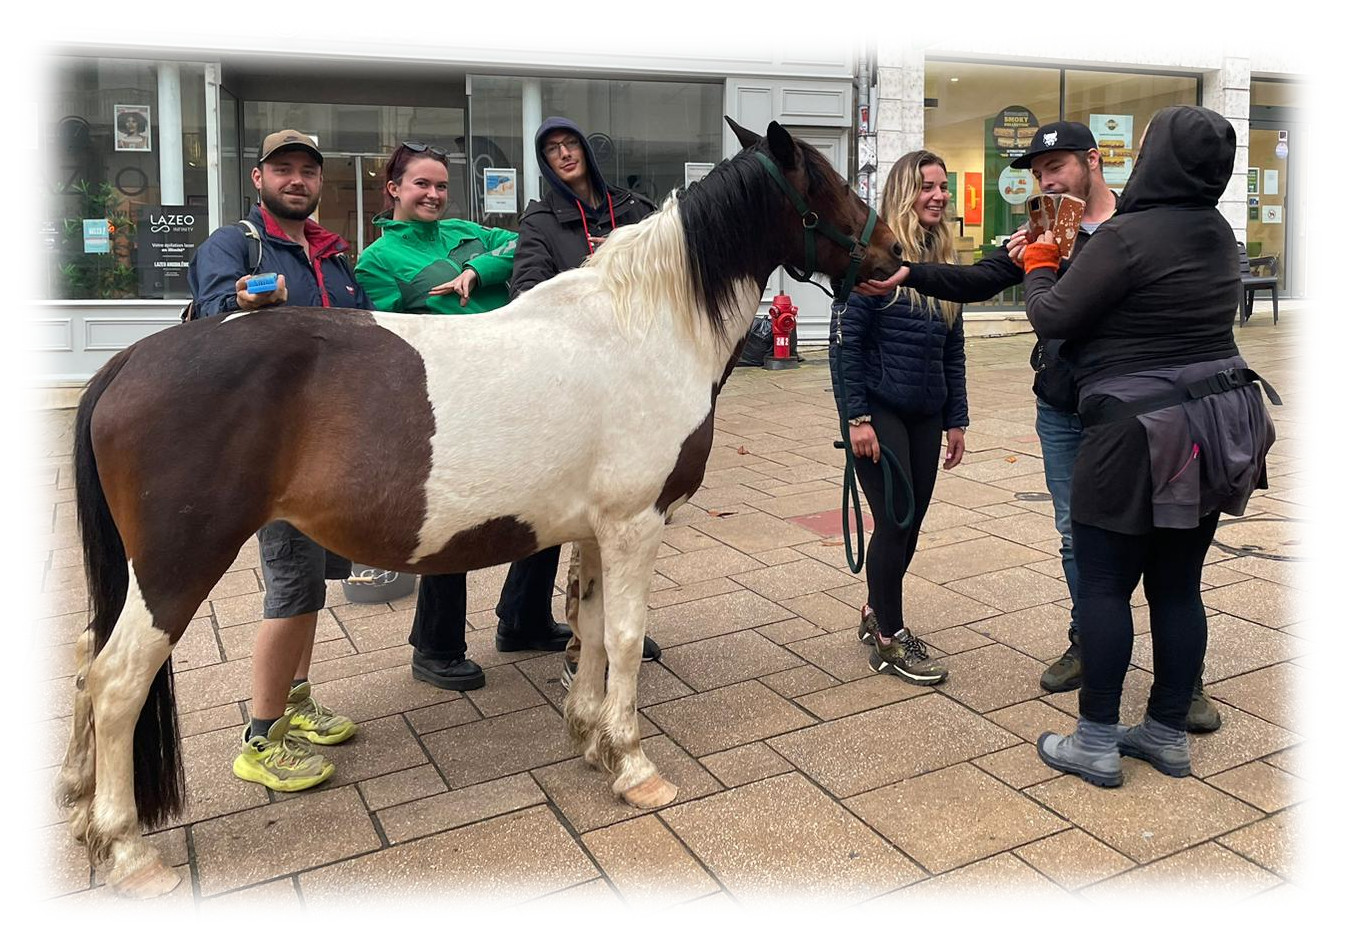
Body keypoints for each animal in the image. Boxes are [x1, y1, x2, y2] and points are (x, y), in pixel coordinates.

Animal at [55, 120, 903, 903]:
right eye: (827, 181)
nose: (893, 256)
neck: (639, 329)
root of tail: (129, 361)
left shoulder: (597, 532)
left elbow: (589, 626)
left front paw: (589, 737)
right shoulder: (636, 525)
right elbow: (626, 640)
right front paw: (633, 764)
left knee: (87, 668)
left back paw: (81, 811)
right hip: (177, 568)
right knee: (117, 683)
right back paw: (129, 852)